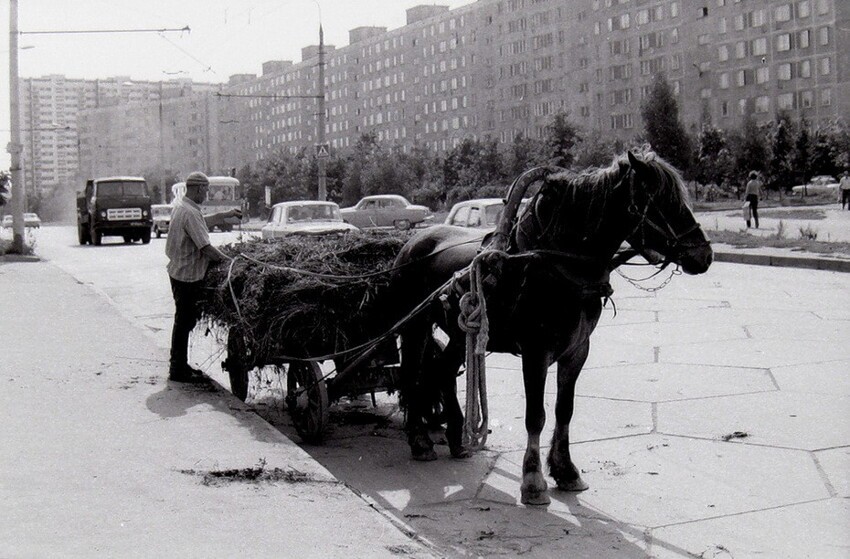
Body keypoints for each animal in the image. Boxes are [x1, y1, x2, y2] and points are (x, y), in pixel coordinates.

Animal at [394, 150, 712, 508]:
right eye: (661, 200)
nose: (704, 255)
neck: (555, 265)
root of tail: (414, 240)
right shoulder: (536, 353)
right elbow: (536, 414)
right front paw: (533, 480)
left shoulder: (577, 351)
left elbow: (564, 410)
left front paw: (565, 470)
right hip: (416, 326)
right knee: (412, 373)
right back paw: (420, 440)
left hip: (462, 333)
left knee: (442, 371)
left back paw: (457, 438)